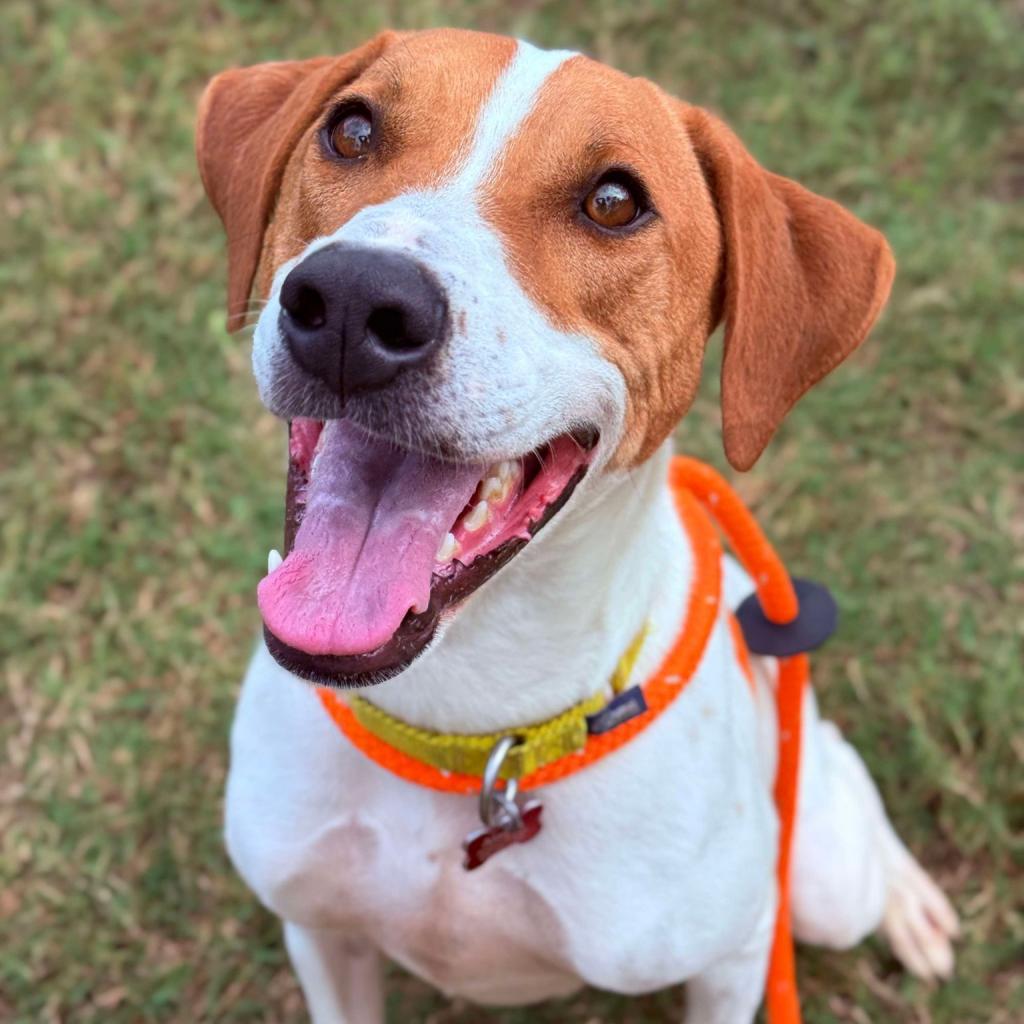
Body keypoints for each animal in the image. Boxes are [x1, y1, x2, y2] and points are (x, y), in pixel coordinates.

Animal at [193, 29, 958, 1024]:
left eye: (613, 201)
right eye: (351, 130)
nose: (356, 301)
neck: (471, 729)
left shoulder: (739, 952)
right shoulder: (321, 933)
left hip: (818, 882)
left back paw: (905, 898)